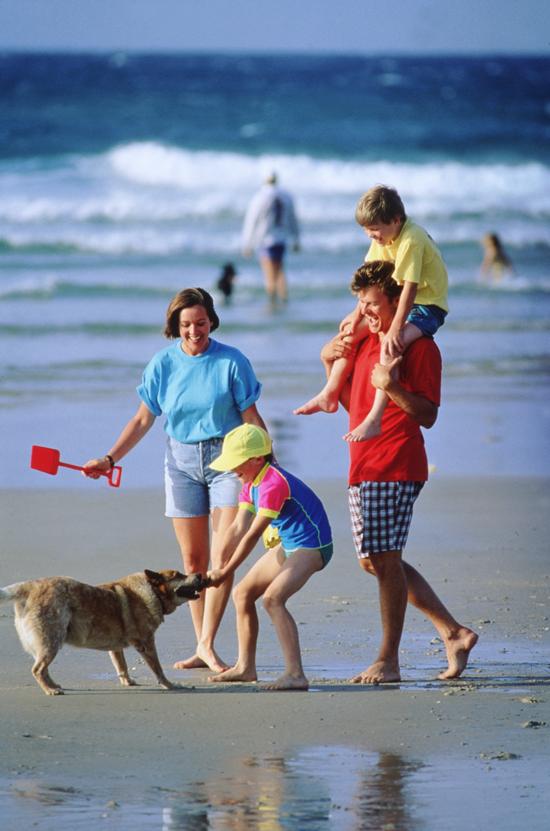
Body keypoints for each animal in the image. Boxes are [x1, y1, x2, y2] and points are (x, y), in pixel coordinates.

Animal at [1, 564, 206, 696]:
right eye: (178, 574)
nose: (200, 575)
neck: (153, 593)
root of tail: (30, 586)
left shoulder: (115, 648)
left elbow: (121, 665)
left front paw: (127, 682)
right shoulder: (146, 643)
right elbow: (158, 669)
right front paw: (169, 685)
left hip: (49, 642)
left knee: (43, 669)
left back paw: (54, 685)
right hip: (52, 639)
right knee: (37, 669)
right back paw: (50, 690)